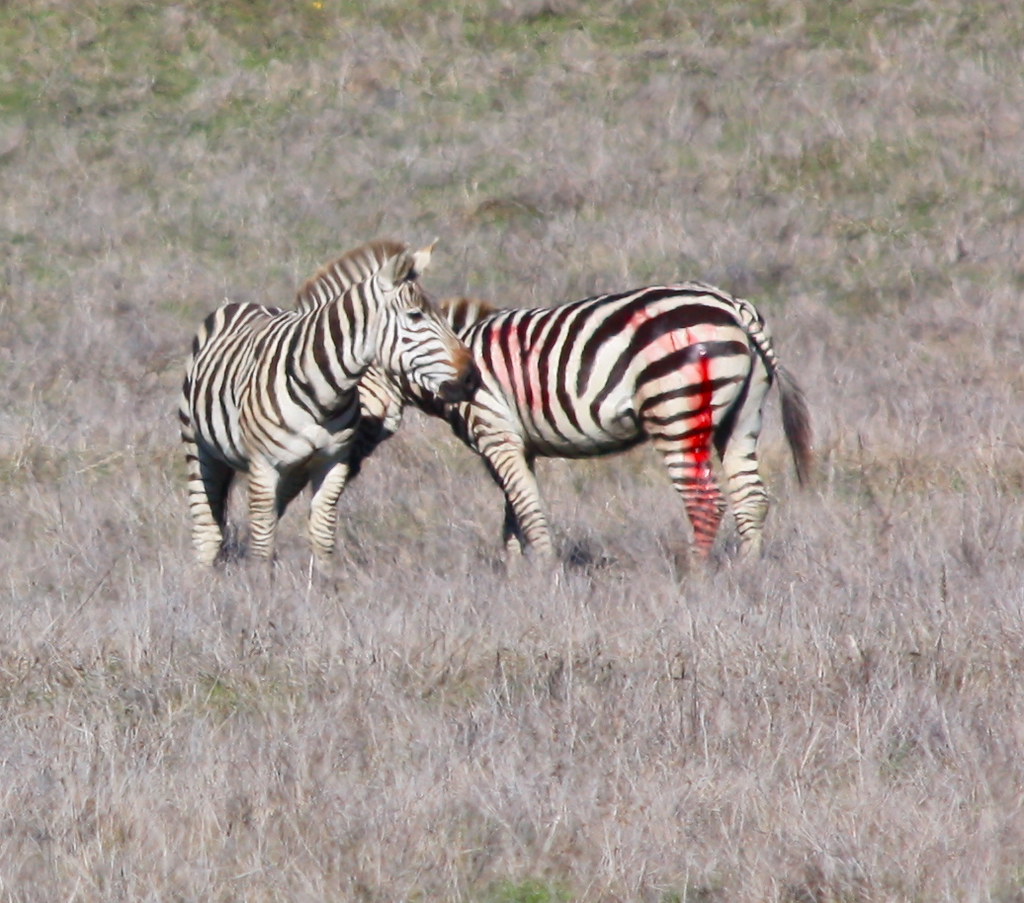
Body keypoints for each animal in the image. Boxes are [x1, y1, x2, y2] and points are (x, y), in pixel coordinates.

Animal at [178, 239, 480, 566]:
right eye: (415, 316)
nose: (472, 378)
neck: (323, 394)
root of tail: (243, 304)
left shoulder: (333, 462)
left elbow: (321, 535)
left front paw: (323, 579)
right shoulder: (263, 466)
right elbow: (262, 545)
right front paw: (259, 580)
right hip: (197, 446)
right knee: (207, 528)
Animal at [349, 284, 811, 561]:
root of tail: (732, 305)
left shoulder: (496, 435)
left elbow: (528, 510)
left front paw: (544, 579)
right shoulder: (517, 446)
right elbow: (512, 515)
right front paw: (517, 578)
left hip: (675, 411)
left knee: (705, 501)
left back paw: (695, 579)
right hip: (742, 416)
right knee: (751, 497)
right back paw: (746, 572)